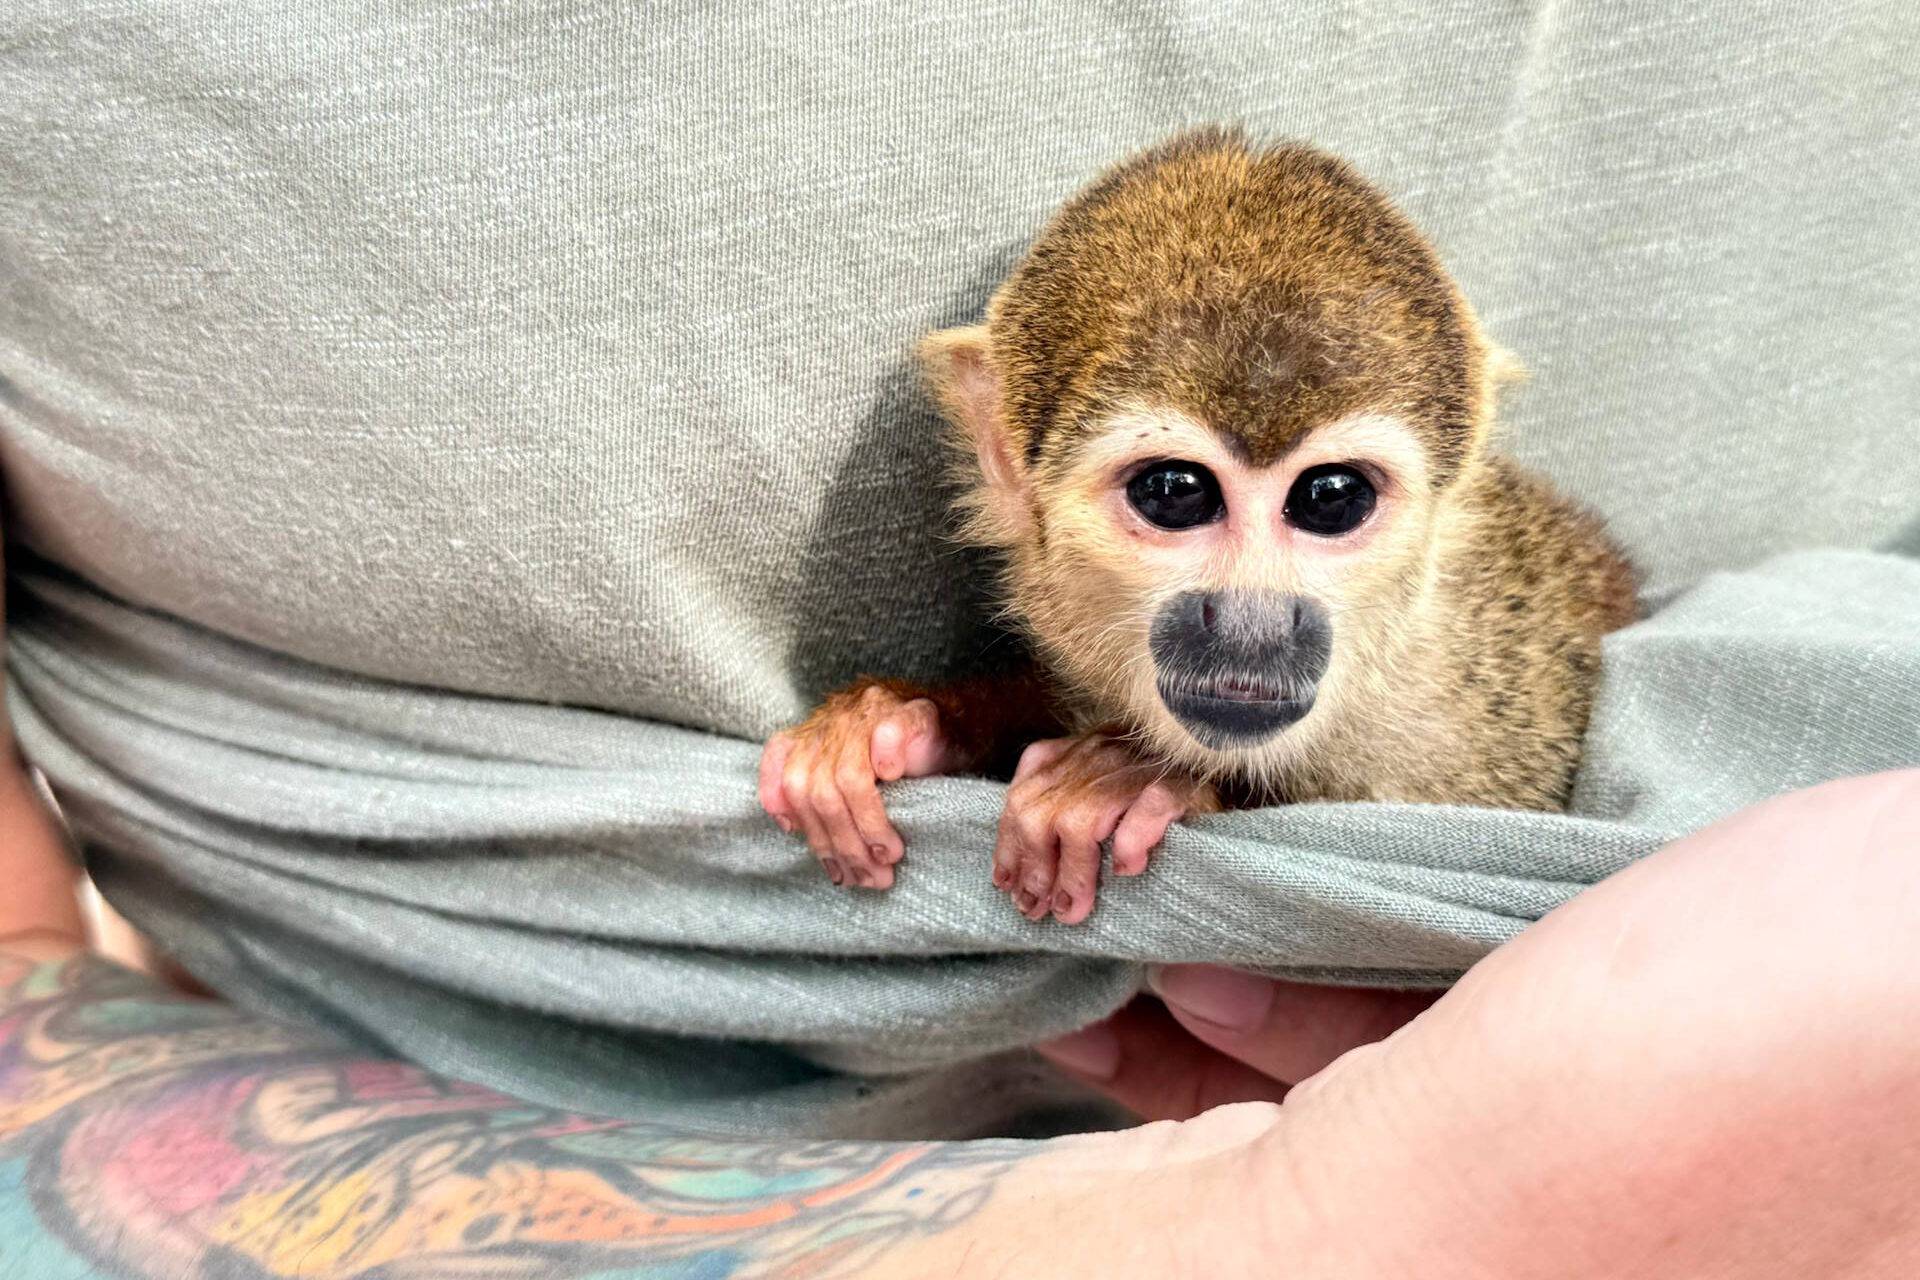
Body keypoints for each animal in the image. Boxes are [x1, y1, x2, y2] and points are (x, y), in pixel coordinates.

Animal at [758, 127, 1638, 925]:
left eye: (1330, 498)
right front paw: (904, 722)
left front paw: (1143, 784)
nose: (1252, 620)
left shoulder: (1489, 705)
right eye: (1176, 493)